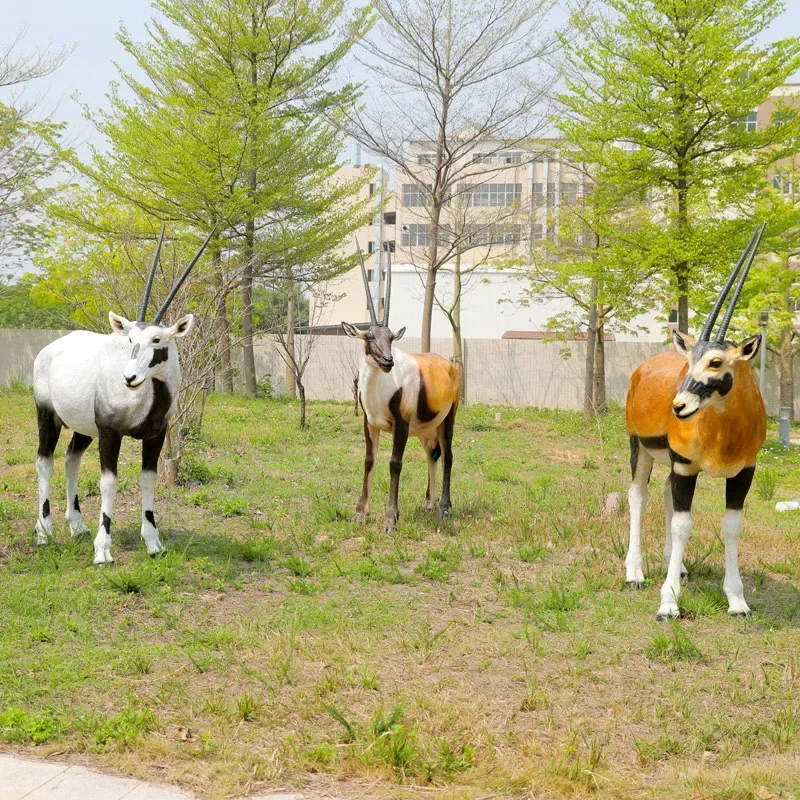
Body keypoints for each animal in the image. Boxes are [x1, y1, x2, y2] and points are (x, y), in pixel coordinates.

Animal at [32, 228, 212, 565]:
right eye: (130, 339)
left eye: (157, 339)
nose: (129, 378)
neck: (146, 399)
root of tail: (50, 348)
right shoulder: (110, 432)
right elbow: (109, 482)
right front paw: (103, 550)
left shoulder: (156, 435)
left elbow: (148, 478)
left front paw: (153, 543)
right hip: (48, 416)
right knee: (44, 462)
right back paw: (44, 533)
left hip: (83, 428)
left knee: (71, 458)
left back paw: (77, 526)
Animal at [342, 244, 461, 531]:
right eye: (369, 336)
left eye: (391, 337)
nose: (388, 361)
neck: (383, 388)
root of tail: (447, 365)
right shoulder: (369, 422)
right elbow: (369, 460)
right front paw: (360, 513)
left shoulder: (401, 424)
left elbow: (395, 463)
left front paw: (390, 519)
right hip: (425, 429)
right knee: (431, 454)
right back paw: (429, 503)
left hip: (447, 419)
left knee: (448, 456)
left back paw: (444, 508)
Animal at [625, 225, 767, 620]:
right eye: (689, 359)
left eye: (716, 362)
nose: (679, 406)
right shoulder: (686, 467)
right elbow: (683, 524)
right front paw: (668, 603)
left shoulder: (743, 471)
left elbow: (731, 525)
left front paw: (737, 600)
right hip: (640, 450)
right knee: (638, 495)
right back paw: (635, 573)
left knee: (664, 496)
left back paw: (679, 566)